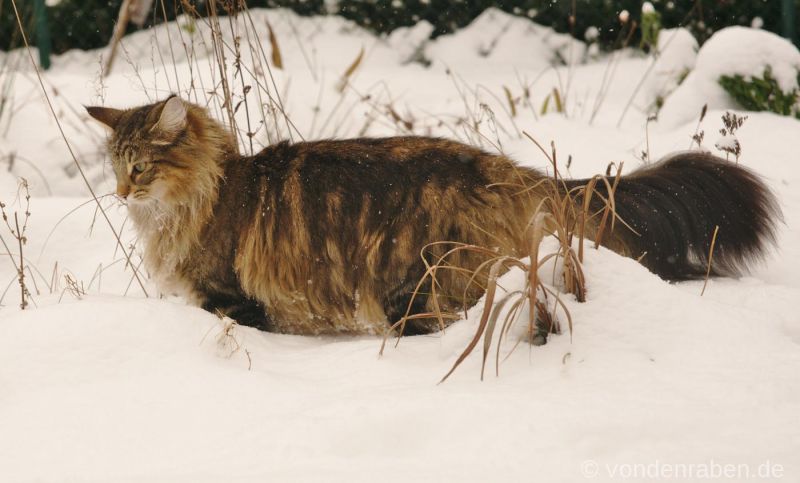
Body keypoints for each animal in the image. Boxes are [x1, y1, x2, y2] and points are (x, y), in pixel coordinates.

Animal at [87, 94, 780, 336]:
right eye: (114, 166)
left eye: (140, 168)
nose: (120, 193)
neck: (209, 192)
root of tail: (515, 171)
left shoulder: (231, 295)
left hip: (420, 283)